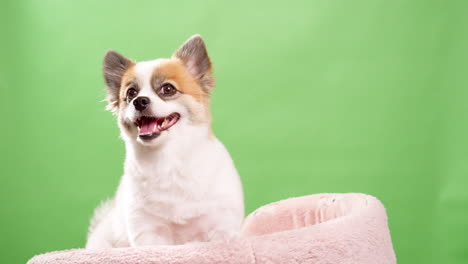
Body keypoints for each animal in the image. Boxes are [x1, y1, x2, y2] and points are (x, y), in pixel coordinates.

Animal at [85, 34, 245, 248]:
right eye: (131, 93)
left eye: (168, 89)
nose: (139, 101)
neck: (168, 159)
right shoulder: (148, 232)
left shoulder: (221, 226)